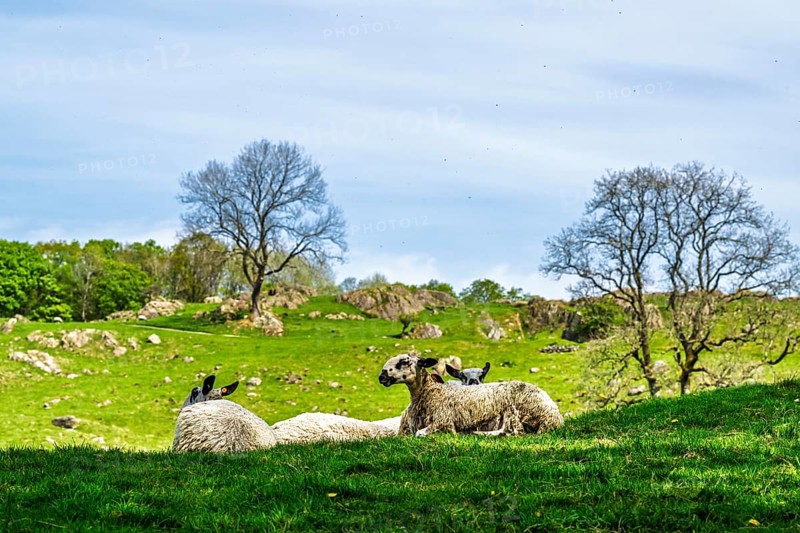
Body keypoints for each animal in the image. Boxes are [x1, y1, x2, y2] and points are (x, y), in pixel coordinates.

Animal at [378, 353, 563, 437]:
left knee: (510, 430)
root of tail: (555, 416)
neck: (430, 392)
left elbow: (419, 433)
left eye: (404, 362)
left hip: (514, 410)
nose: (381, 377)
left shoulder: (443, 420)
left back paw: (477, 433)